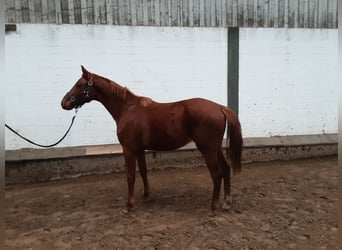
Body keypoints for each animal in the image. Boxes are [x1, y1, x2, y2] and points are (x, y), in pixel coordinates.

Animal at [62, 65, 243, 212]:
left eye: (79, 84)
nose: (63, 102)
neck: (127, 109)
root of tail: (219, 107)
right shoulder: (139, 149)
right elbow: (143, 171)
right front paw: (146, 195)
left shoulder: (128, 149)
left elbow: (130, 176)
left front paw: (128, 205)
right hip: (215, 148)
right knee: (226, 169)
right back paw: (227, 202)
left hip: (207, 149)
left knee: (217, 174)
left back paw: (213, 206)